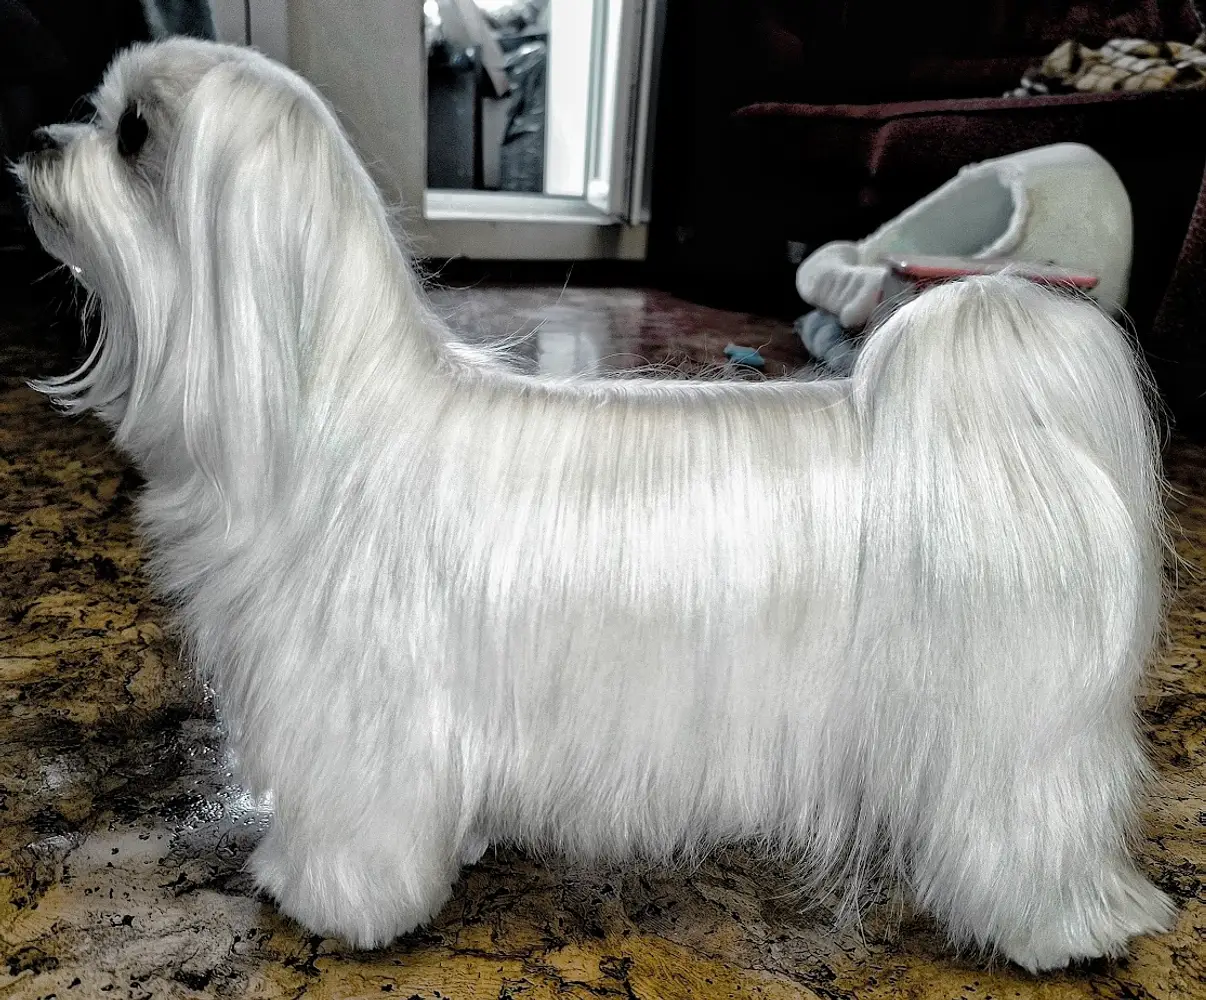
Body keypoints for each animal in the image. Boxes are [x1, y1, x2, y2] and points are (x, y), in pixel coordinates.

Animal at [15, 38, 1176, 970]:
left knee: (1036, 832)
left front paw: (328, 899)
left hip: (1010, 735)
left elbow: (357, 832)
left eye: (134, 134)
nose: (34, 138)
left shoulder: (357, 716)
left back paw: (1062, 933)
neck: (315, 414)